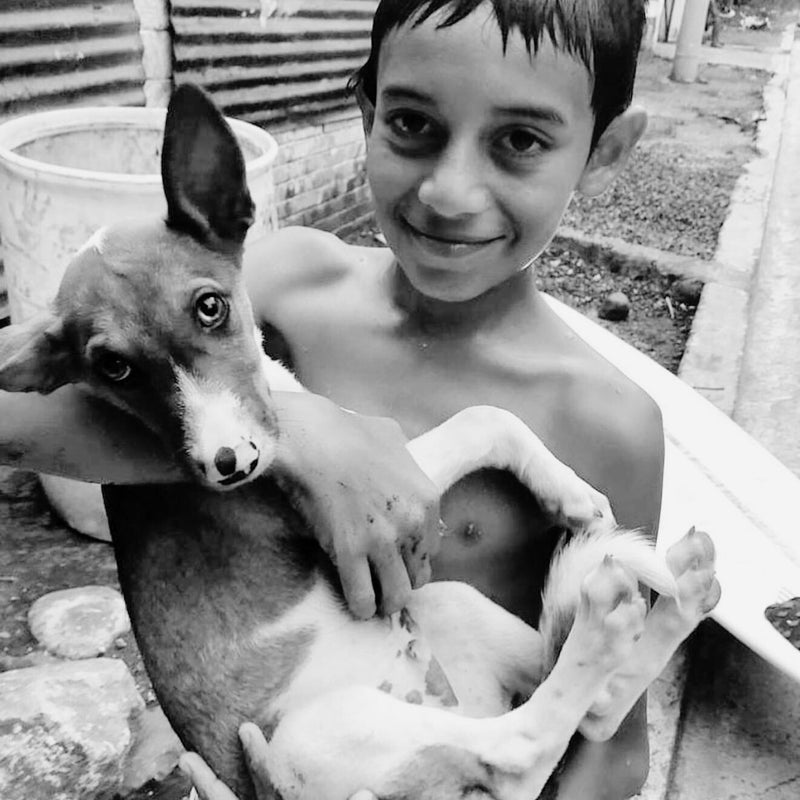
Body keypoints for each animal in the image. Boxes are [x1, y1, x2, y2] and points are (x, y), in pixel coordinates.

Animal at [0, 84, 720, 796]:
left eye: (210, 306)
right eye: (113, 368)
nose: (229, 466)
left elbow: (493, 416)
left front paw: (568, 492)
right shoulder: (383, 463)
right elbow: (484, 417)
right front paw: (567, 492)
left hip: (451, 605)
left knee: (589, 710)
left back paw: (678, 597)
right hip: (318, 732)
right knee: (523, 749)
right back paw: (604, 623)